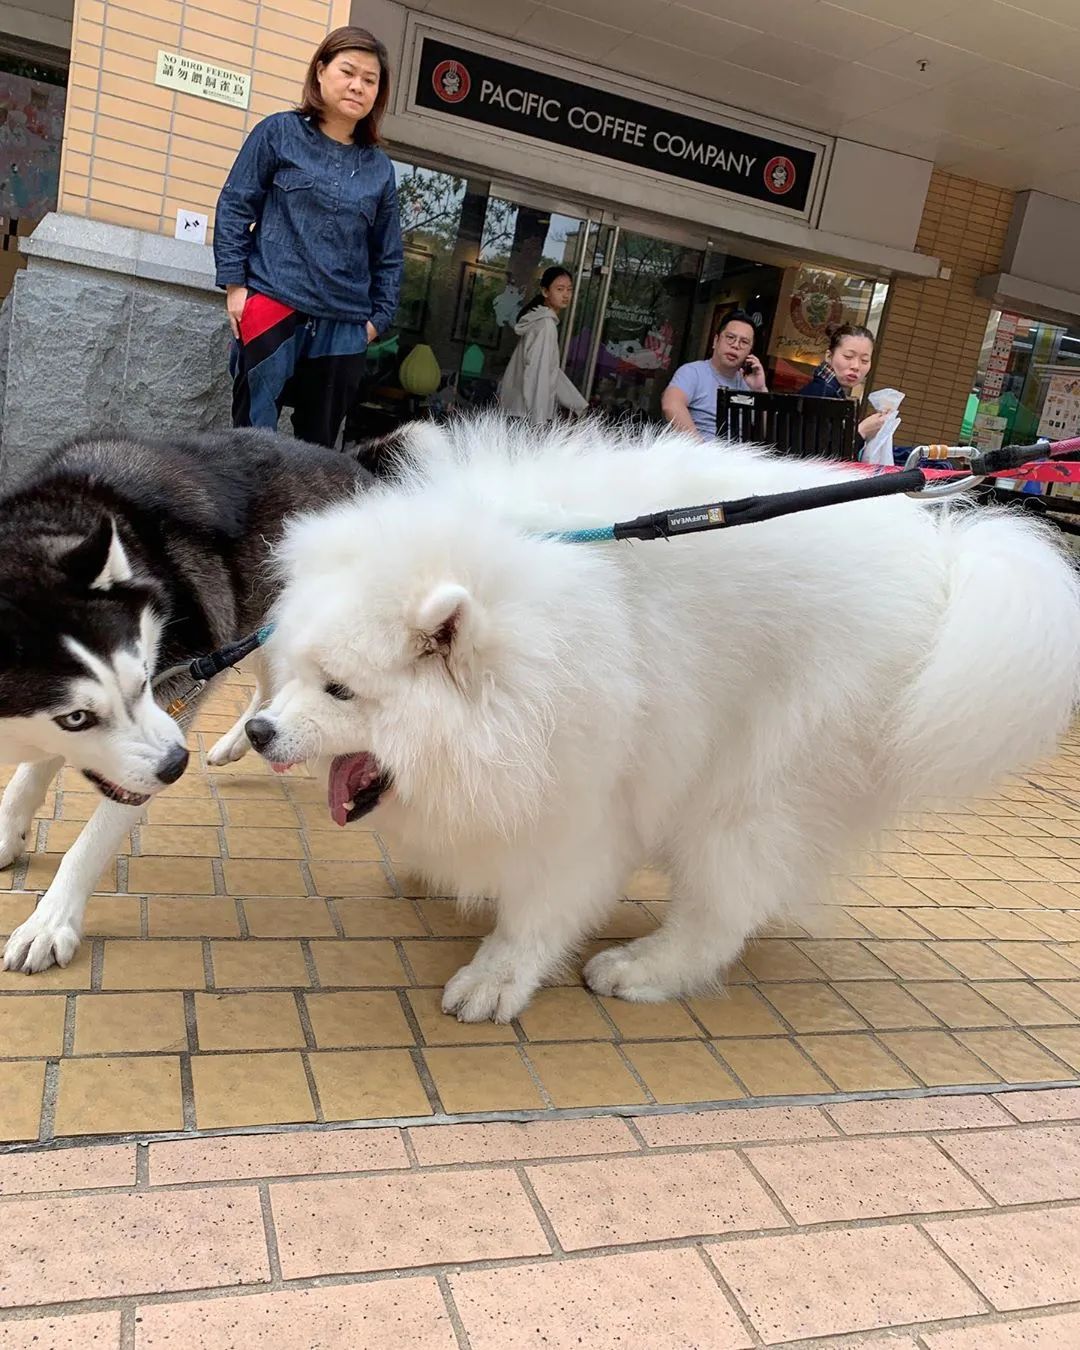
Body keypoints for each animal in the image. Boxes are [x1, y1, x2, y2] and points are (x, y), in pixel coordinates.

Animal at [244, 415, 1080, 1015]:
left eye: (340, 690)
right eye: (293, 676)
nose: (257, 731)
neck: (527, 669)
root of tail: (942, 562)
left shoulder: (585, 801)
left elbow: (539, 910)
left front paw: (495, 979)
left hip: (757, 783)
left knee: (722, 907)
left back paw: (642, 968)